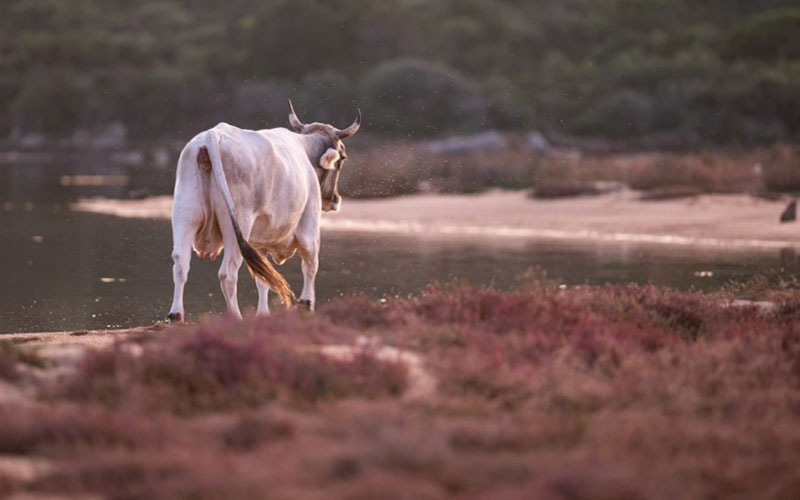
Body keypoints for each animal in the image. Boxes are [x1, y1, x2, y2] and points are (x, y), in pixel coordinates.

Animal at [167, 101, 360, 320]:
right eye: (342, 159)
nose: (335, 200)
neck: (305, 151)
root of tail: (212, 135)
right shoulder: (309, 226)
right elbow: (310, 264)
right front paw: (306, 304)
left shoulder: (259, 241)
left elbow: (262, 278)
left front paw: (263, 313)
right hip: (237, 224)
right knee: (228, 273)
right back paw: (235, 317)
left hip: (185, 215)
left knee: (180, 263)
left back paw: (176, 315)